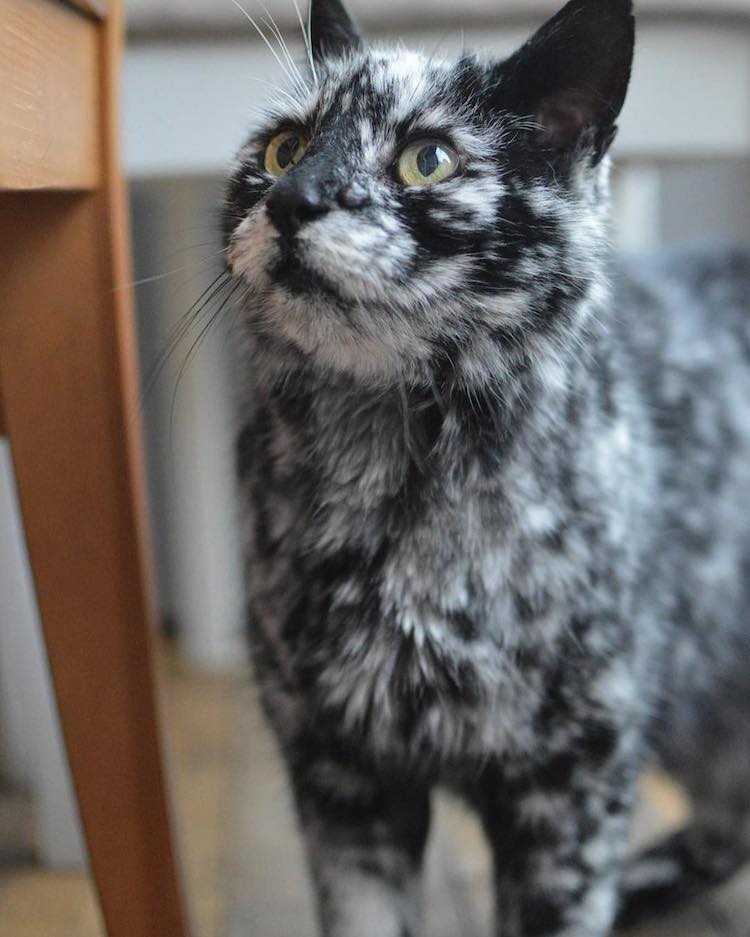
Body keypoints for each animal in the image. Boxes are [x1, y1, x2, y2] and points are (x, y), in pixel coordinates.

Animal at [222, 3, 750, 932]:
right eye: (284, 148)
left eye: (427, 159)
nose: (293, 198)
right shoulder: (340, 777)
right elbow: (366, 913)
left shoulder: (572, 784)